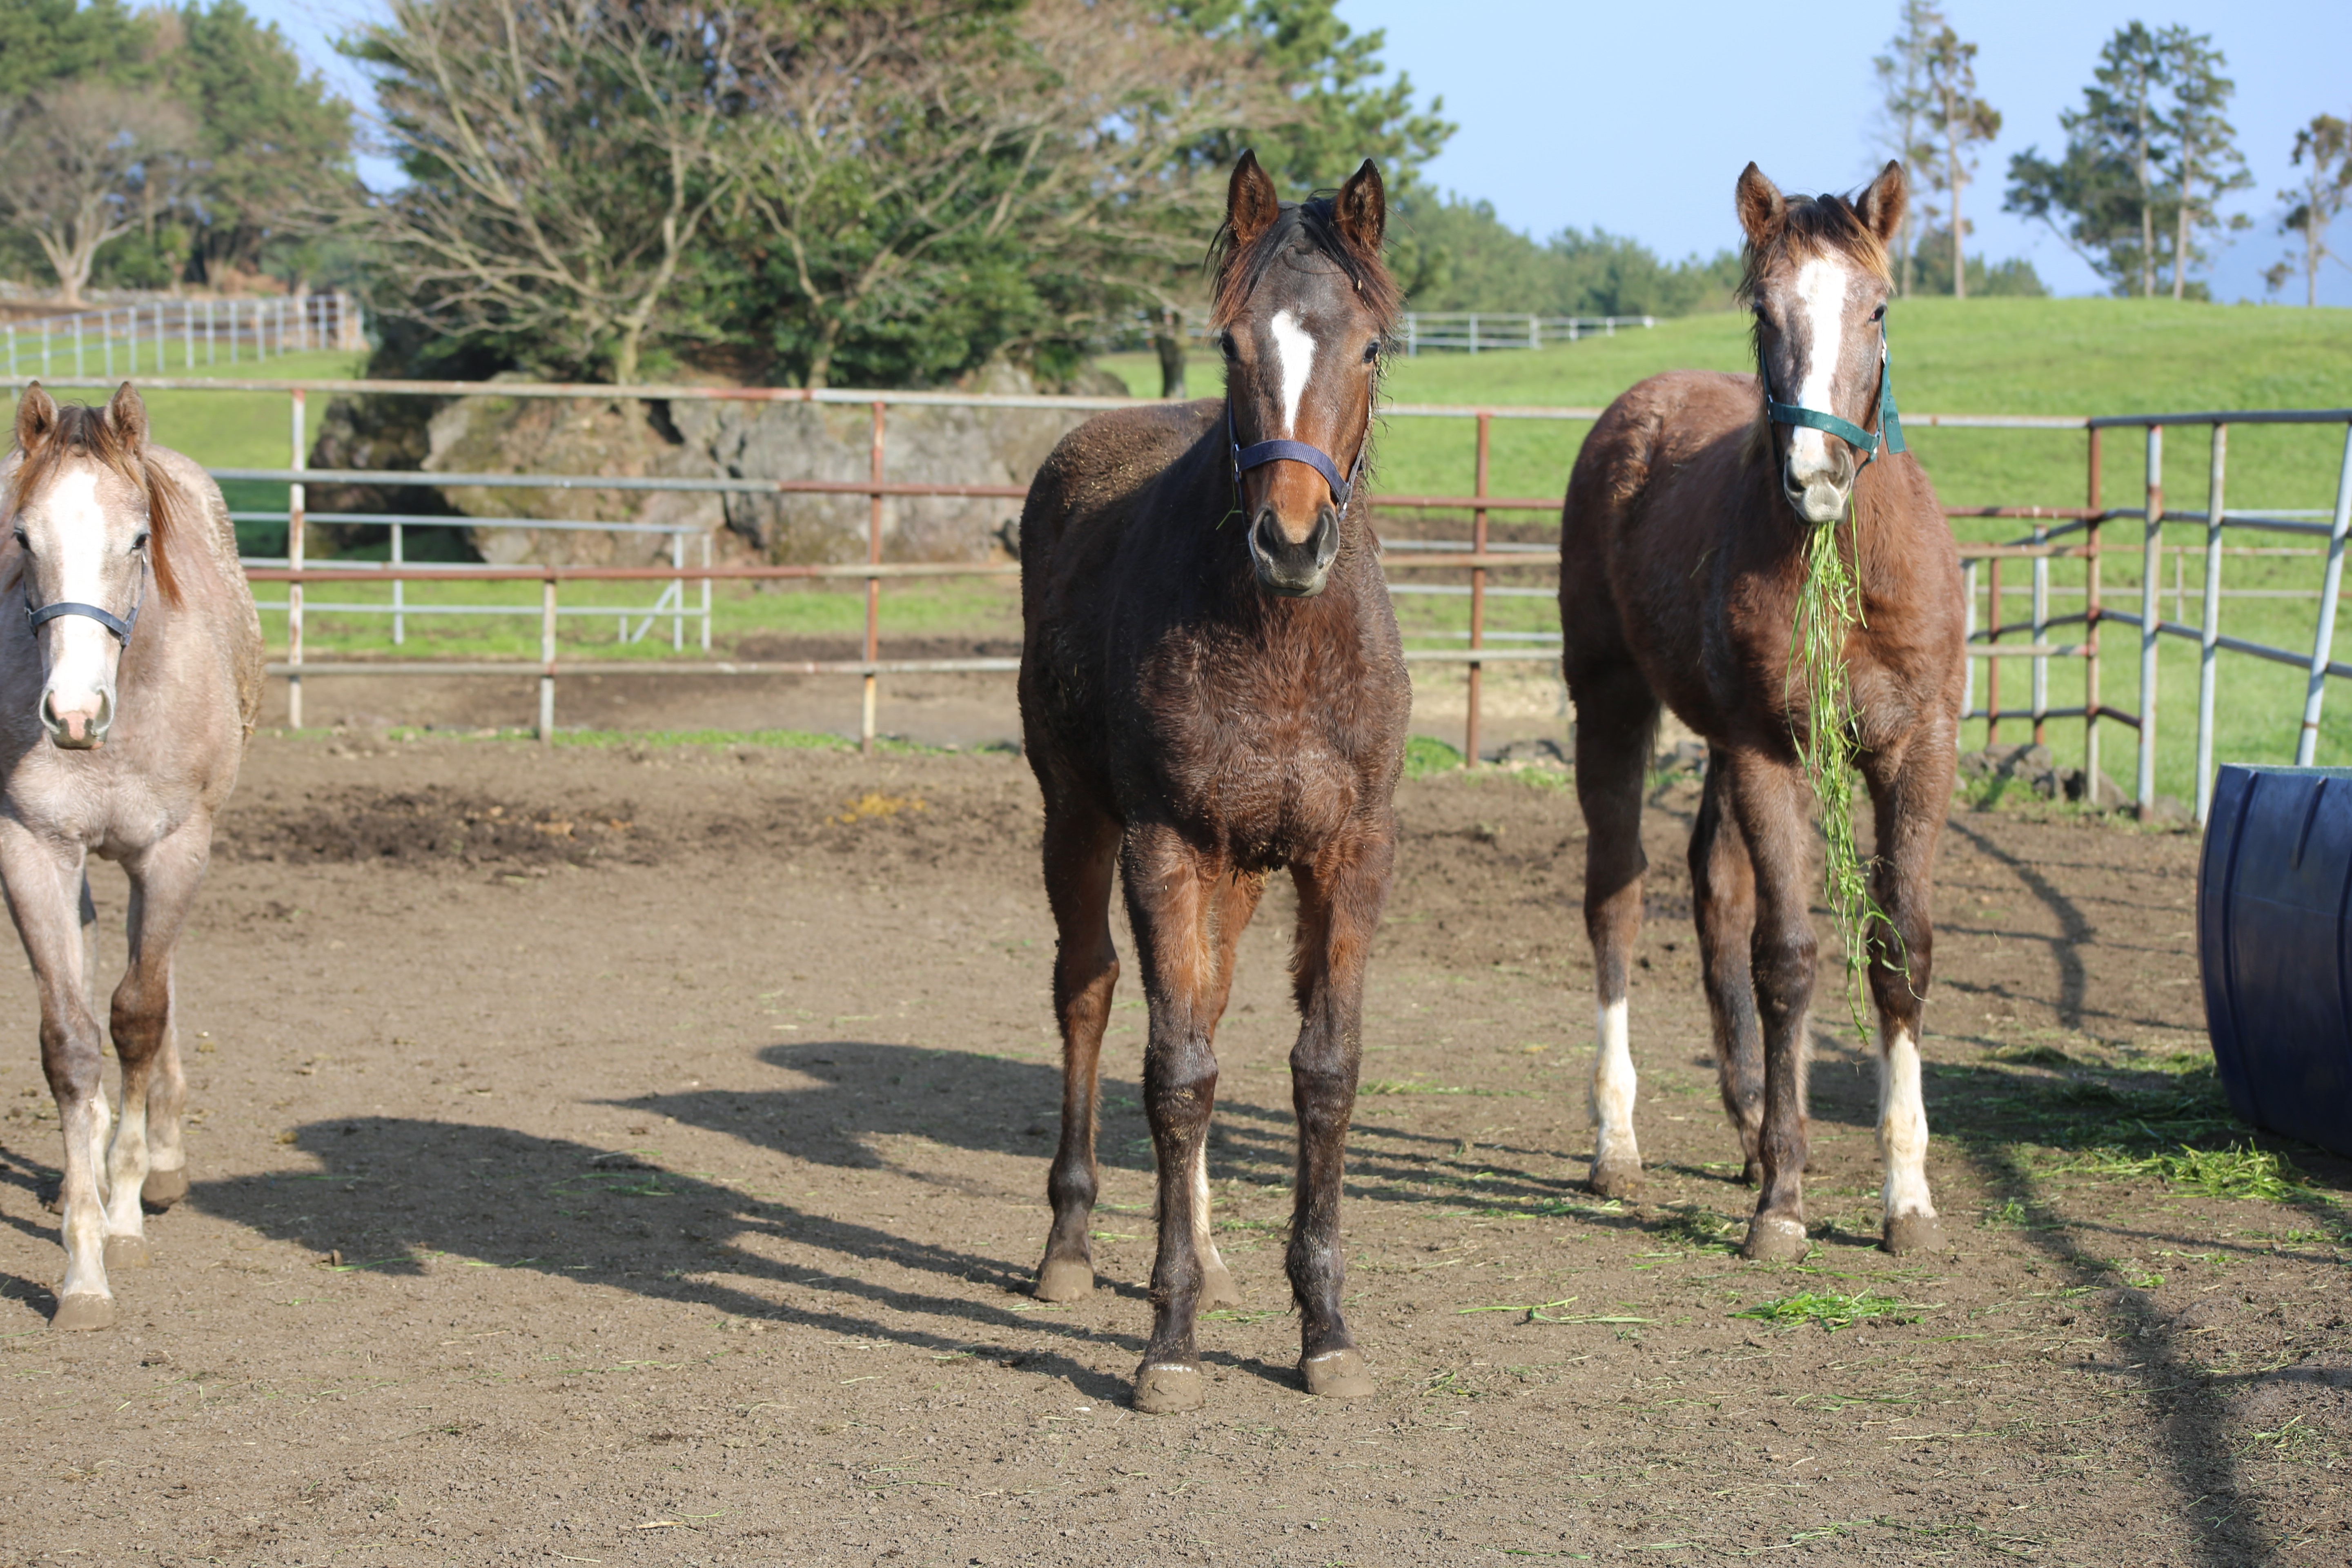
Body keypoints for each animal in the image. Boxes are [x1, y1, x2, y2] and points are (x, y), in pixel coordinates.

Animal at [2, 385, 265, 1335]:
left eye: (138, 538)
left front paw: (122, 1214)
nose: (73, 713)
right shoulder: (32, 849)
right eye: (22, 537)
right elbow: (73, 1043)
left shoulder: (174, 849)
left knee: (157, 982)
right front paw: (81, 1268)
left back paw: (163, 1156)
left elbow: (141, 1018)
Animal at [1561, 162, 1966, 1260]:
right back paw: (1618, 1143)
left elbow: (1897, 947)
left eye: (1878, 306)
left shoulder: (1918, 748)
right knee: (1617, 900)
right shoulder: (1764, 750)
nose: (1815, 475)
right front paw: (1782, 1203)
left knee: (1714, 891)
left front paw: (1906, 1197)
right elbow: (1786, 957)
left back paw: (1746, 1128)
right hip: (1610, 705)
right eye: (1761, 309)